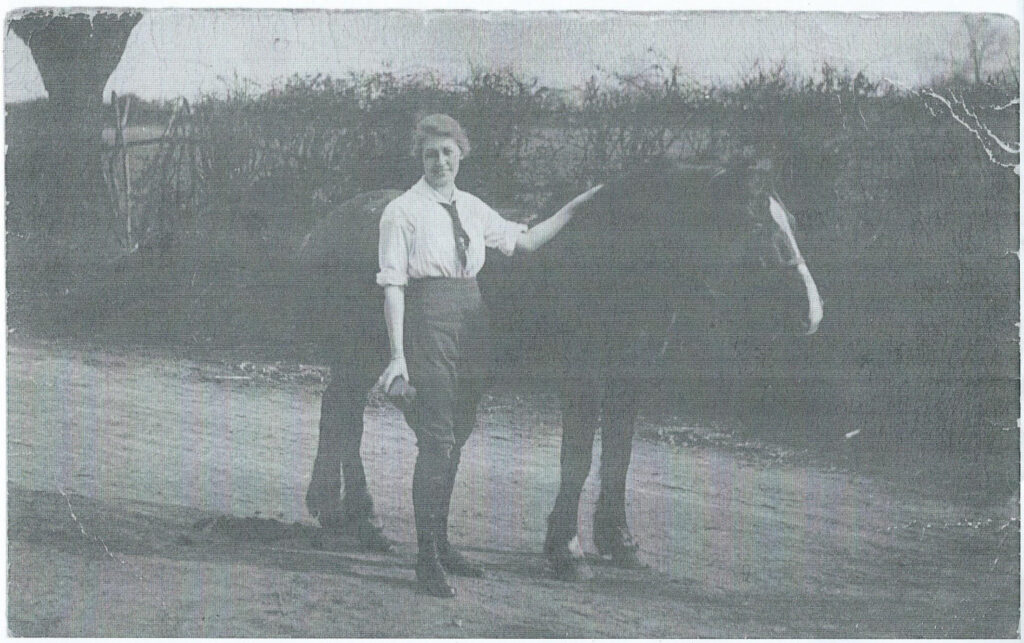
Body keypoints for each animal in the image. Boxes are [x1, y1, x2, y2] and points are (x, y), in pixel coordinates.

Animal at [299, 159, 823, 577]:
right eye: (755, 226)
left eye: (793, 223)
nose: (812, 314)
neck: (616, 266)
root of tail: (331, 222)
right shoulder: (584, 379)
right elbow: (578, 458)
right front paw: (566, 549)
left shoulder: (628, 380)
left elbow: (619, 455)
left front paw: (620, 542)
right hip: (361, 353)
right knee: (342, 417)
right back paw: (344, 515)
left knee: (342, 416)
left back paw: (355, 520)